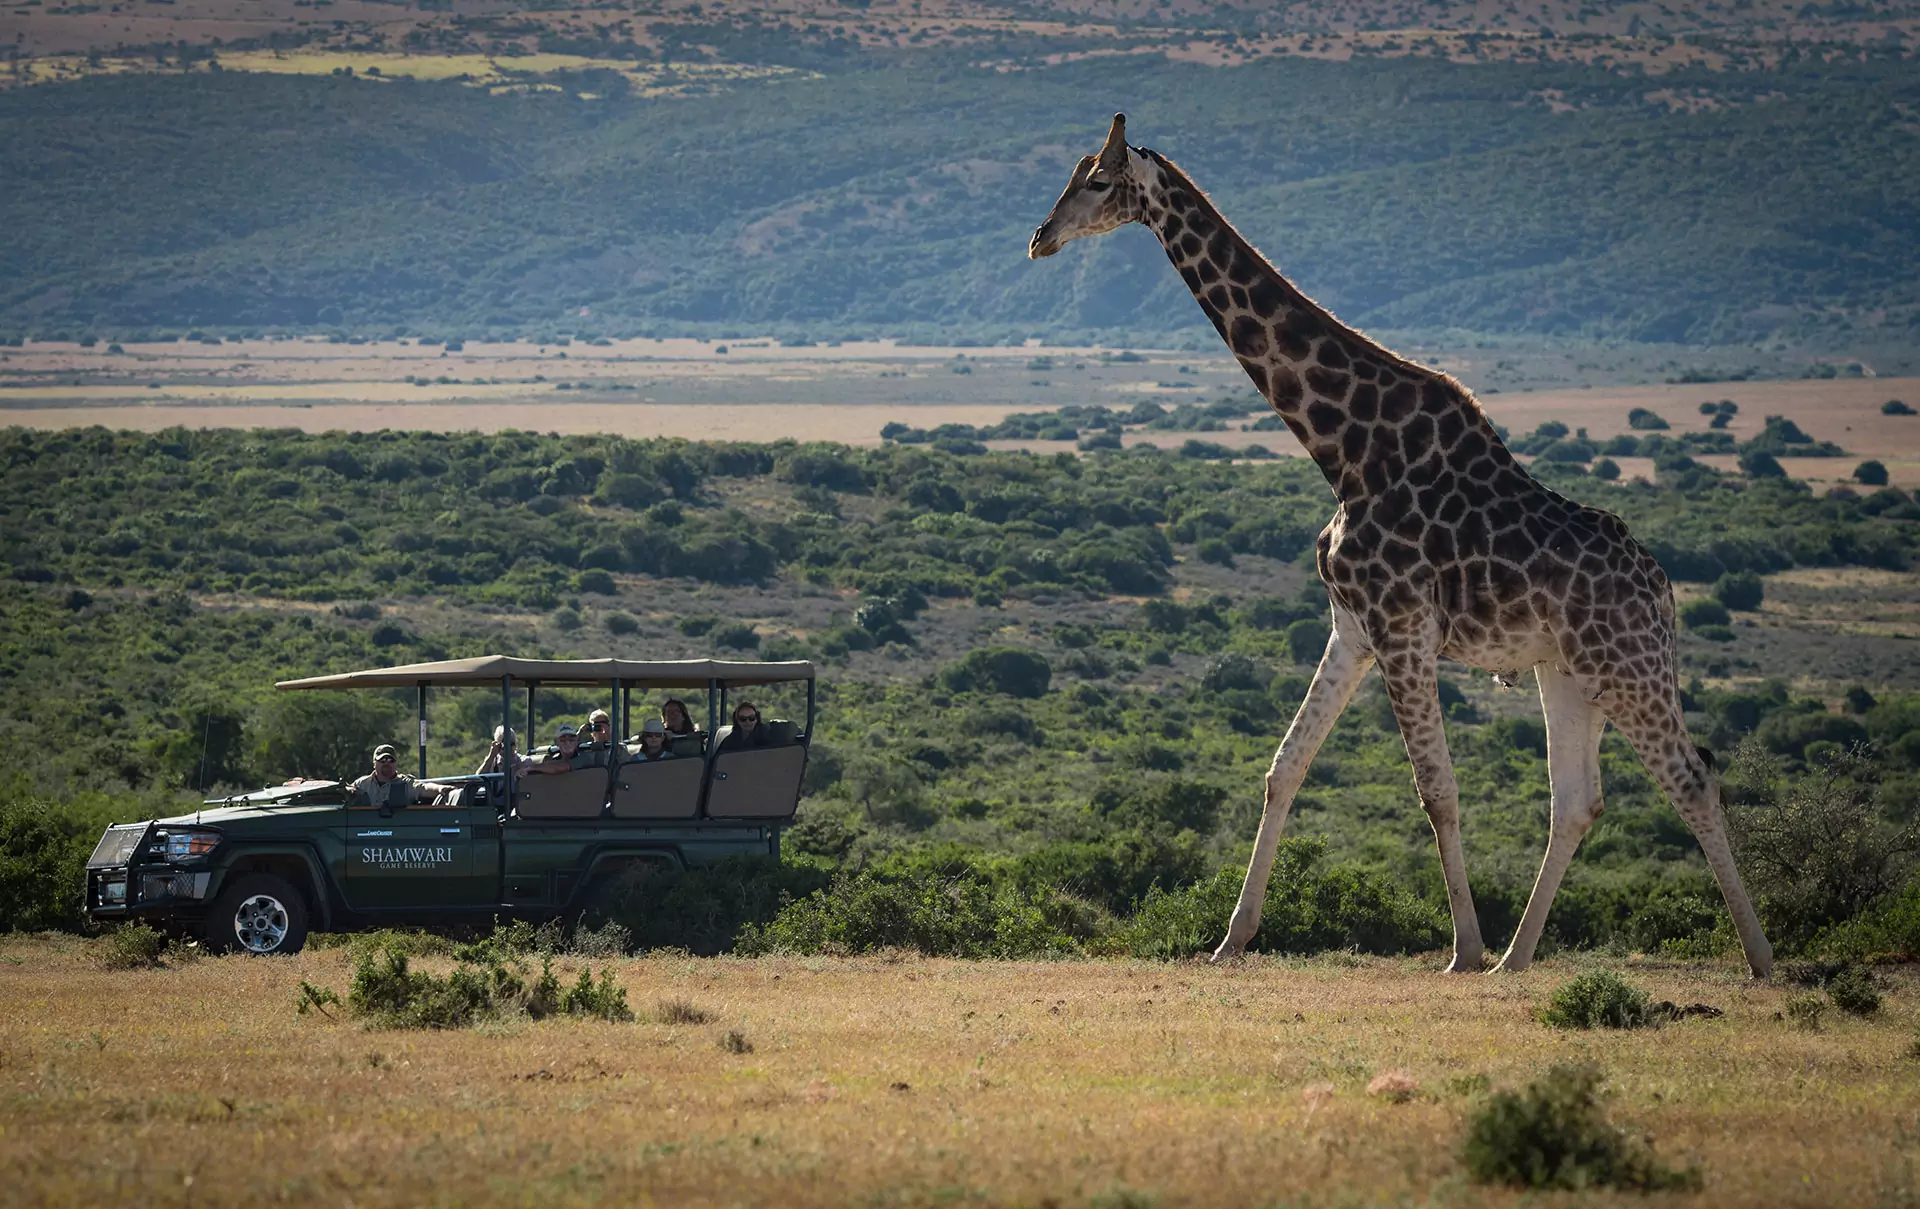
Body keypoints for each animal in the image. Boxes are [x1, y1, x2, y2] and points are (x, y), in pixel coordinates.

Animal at [1028, 115, 1773, 977]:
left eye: (1097, 182)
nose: (1040, 239)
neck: (1347, 447)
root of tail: (1663, 589)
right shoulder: (1352, 627)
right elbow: (1284, 768)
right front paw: (1230, 938)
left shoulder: (1402, 625)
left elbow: (1435, 788)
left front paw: (1462, 949)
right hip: (1568, 671)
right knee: (1578, 800)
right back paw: (1519, 959)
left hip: (1627, 664)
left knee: (1692, 777)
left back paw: (1759, 959)